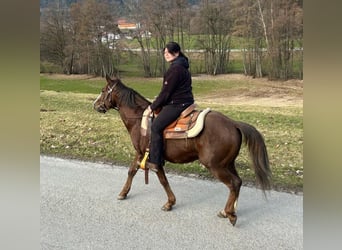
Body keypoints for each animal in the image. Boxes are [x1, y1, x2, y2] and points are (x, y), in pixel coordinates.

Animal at [92, 75, 272, 226]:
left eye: (103, 90)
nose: (95, 105)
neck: (139, 120)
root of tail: (233, 123)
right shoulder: (141, 153)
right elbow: (132, 171)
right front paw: (123, 193)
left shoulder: (151, 156)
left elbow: (162, 179)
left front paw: (169, 203)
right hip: (228, 164)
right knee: (238, 182)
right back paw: (228, 211)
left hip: (216, 166)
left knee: (233, 183)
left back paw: (230, 214)